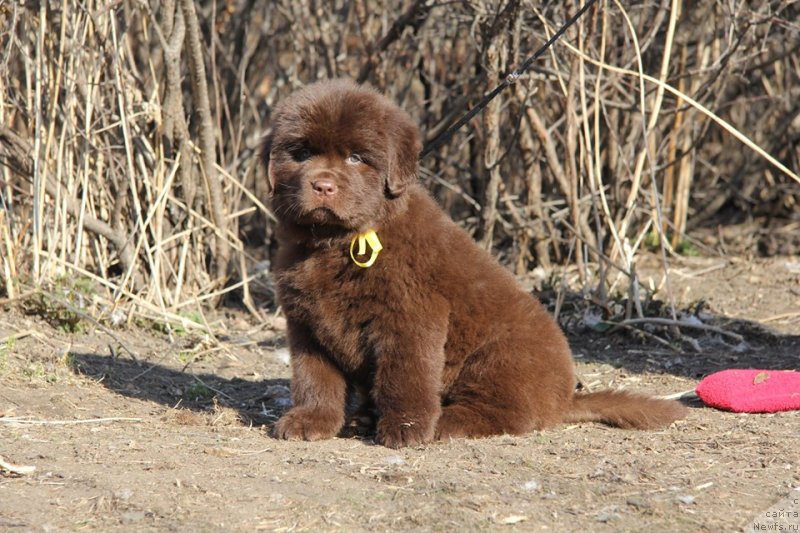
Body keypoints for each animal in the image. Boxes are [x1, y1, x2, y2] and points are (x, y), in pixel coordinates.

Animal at [262, 77, 688, 446]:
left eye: (355, 158)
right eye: (301, 153)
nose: (322, 185)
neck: (335, 242)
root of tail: (565, 399)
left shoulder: (411, 316)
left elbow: (406, 374)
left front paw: (406, 428)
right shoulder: (307, 323)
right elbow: (314, 377)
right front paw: (310, 421)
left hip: (498, 356)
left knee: (506, 413)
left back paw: (443, 420)